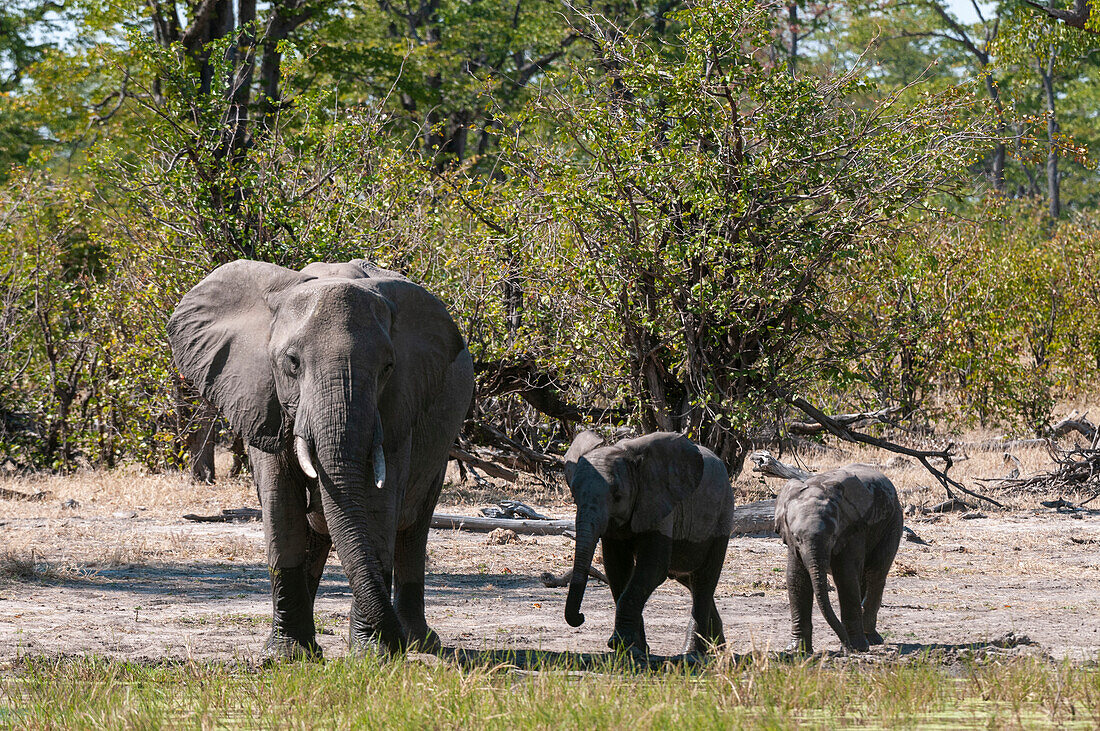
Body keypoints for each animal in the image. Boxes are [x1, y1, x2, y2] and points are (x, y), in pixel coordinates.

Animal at [167, 259, 473, 659]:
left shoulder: (397, 408)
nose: (396, 645)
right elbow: (281, 505)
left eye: (388, 367)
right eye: (292, 362)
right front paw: (285, 657)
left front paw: (373, 654)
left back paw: (421, 642)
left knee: (412, 529)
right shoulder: (261, 397)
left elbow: (377, 505)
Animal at [563, 430, 734, 659]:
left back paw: (693, 655)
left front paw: (620, 644)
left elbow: (653, 568)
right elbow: (617, 570)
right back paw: (718, 648)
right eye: (574, 496)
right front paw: (634, 649)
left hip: (723, 514)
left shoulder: (658, 499)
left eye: (617, 497)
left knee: (704, 581)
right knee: (689, 579)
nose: (581, 616)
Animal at [774, 461, 902, 650]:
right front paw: (797, 651)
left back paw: (871, 639)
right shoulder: (791, 542)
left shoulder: (852, 528)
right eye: (797, 538)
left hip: (893, 521)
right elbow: (796, 579)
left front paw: (857, 648)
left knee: (876, 574)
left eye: (833, 536)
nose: (845, 646)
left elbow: (846, 576)